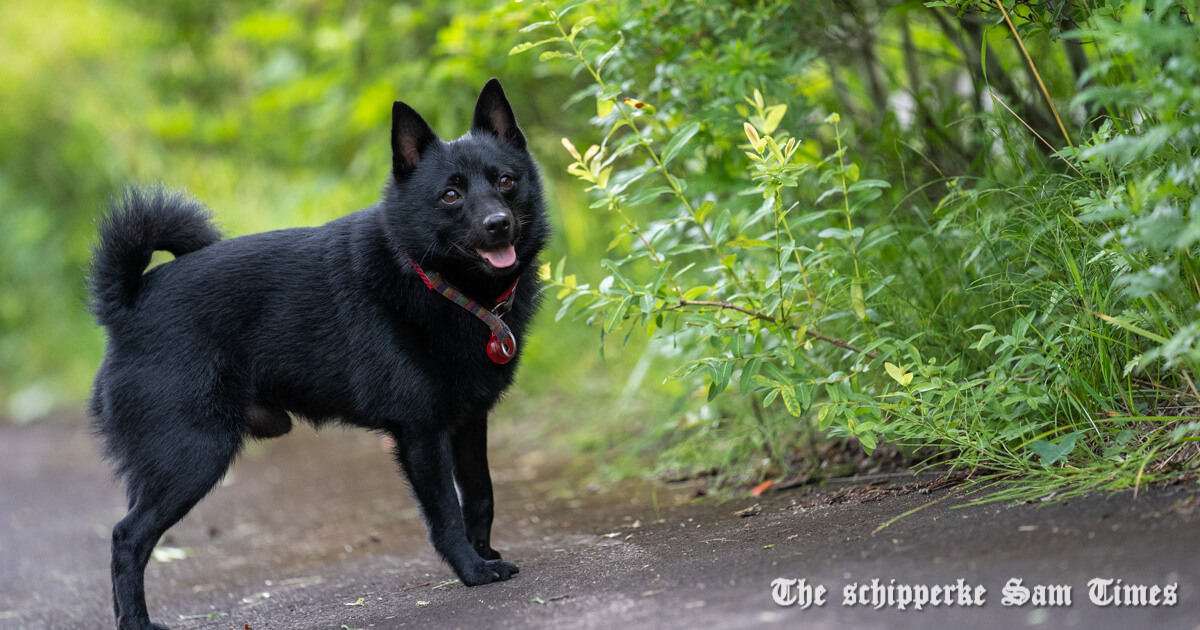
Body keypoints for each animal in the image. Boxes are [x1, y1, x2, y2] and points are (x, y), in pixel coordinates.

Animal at [87, 79, 549, 628]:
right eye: (451, 194)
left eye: (505, 181)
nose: (499, 223)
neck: (439, 285)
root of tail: (129, 302)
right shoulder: (422, 434)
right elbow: (446, 514)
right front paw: (473, 572)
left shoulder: (468, 421)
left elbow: (480, 496)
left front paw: (486, 554)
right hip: (192, 455)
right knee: (126, 539)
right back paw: (136, 621)